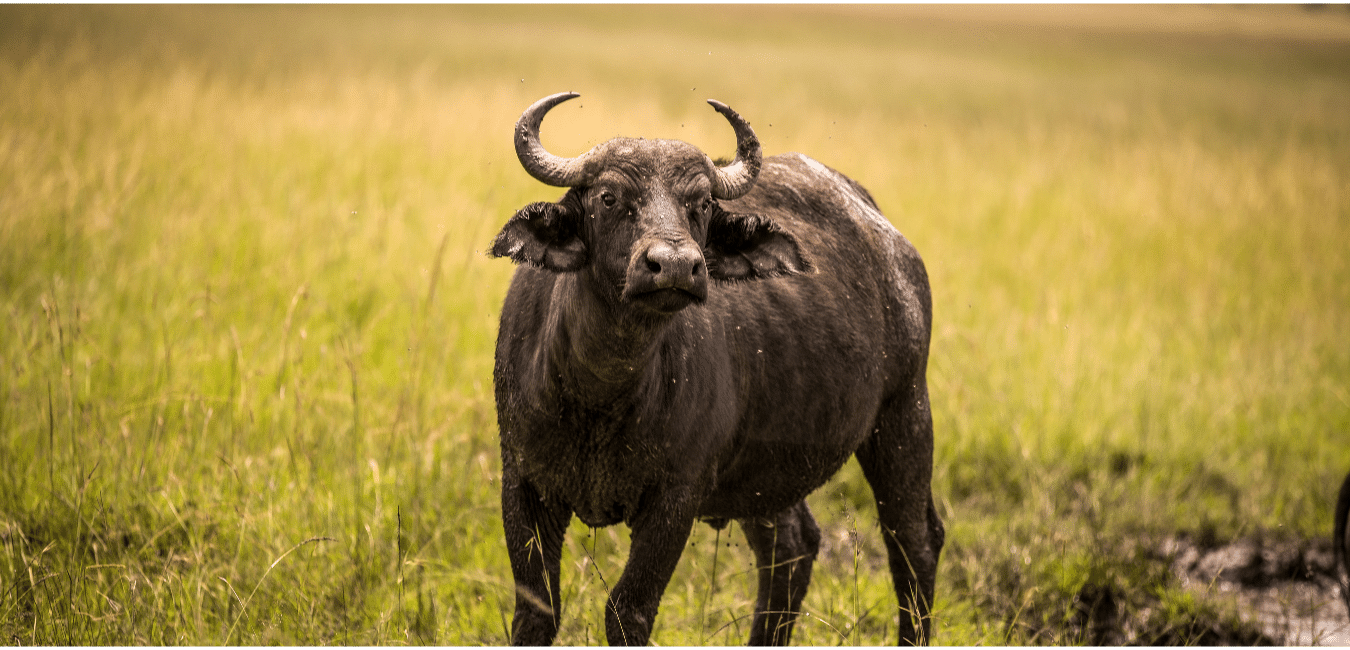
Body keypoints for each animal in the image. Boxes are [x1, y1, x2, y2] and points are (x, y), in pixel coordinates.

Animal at [491, 92, 945, 643]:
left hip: (904, 413)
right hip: (766, 467)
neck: (600, 395)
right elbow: (537, 608)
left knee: (914, 545)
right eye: (608, 197)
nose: (676, 265)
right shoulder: (521, 481)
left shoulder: (676, 498)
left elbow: (628, 609)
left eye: (702, 204)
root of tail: (893, 247)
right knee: (793, 547)